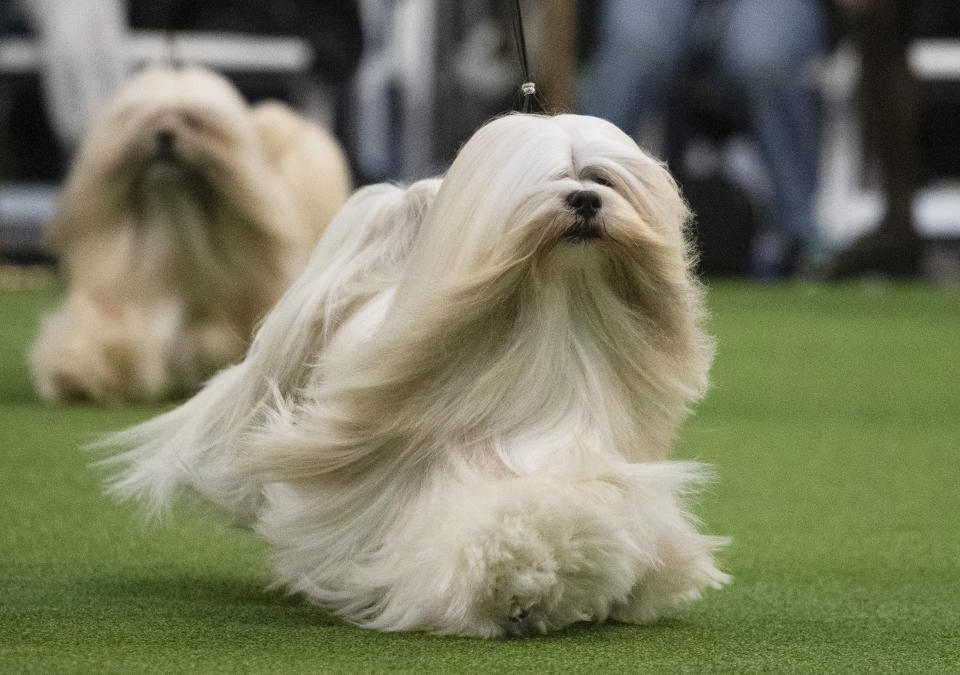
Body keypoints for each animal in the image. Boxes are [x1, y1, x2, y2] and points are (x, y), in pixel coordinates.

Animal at [30, 66, 354, 404]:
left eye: (193, 120)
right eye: (148, 119)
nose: (165, 135)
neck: (175, 207)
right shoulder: (115, 276)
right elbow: (103, 322)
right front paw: (83, 373)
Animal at [105, 113, 728, 636]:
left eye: (603, 178)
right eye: (552, 180)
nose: (584, 199)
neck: (555, 324)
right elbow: (519, 520)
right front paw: (525, 577)